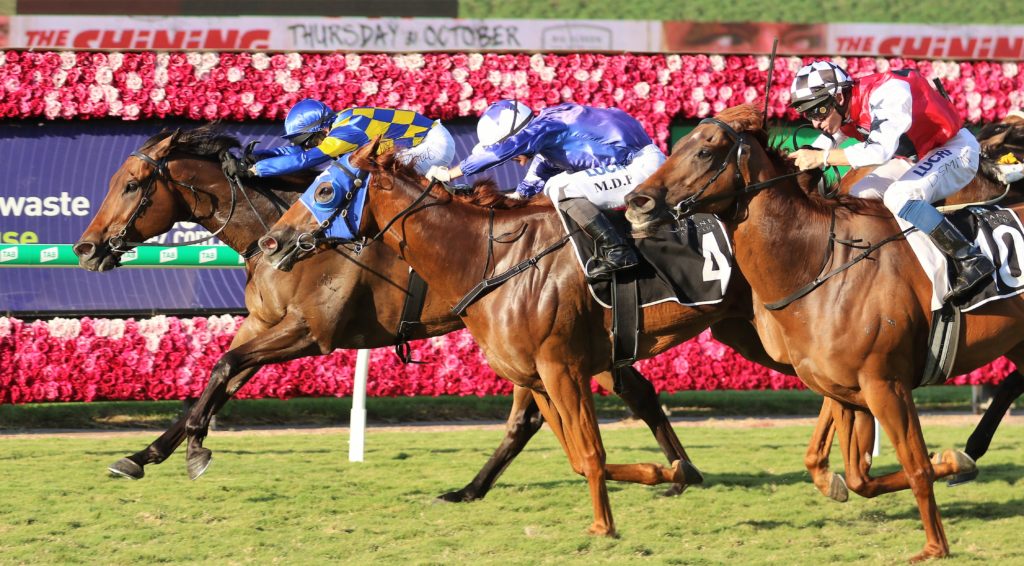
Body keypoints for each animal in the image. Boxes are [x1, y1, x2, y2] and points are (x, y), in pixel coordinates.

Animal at [73, 125, 701, 500]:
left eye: (131, 184)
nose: (85, 247)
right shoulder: (267, 325)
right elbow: (219, 377)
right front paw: (143, 454)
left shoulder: (309, 332)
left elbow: (224, 369)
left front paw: (194, 450)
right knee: (612, 395)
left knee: (628, 393)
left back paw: (680, 474)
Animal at [624, 104, 1024, 560]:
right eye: (679, 145)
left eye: (705, 151)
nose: (636, 203)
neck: (820, 262)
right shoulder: (847, 390)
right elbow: (859, 477)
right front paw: (954, 463)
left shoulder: (886, 384)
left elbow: (916, 465)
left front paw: (935, 546)